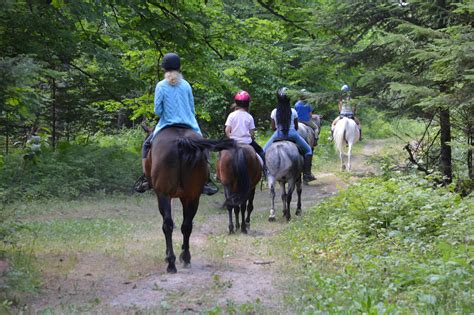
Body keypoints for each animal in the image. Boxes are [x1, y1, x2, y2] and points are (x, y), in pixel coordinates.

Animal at [143, 126, 234, 274]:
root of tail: (182, 141)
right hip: (193, 196)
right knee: (187, 225)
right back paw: (185, 258)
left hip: (164, 194)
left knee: (168, 225)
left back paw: (171, 263)